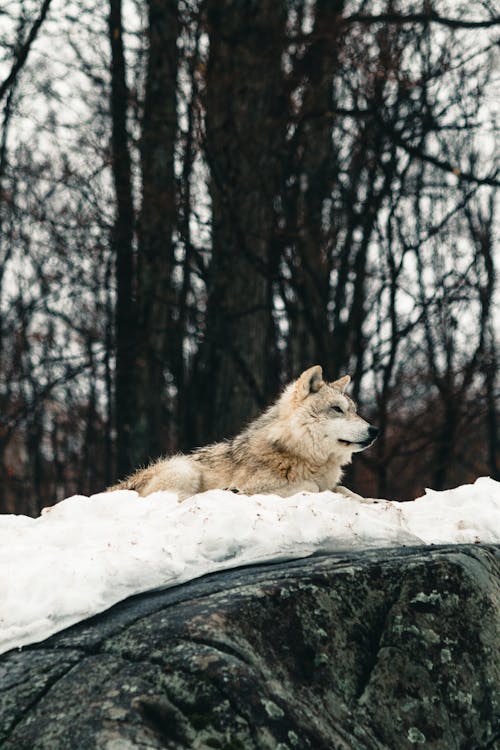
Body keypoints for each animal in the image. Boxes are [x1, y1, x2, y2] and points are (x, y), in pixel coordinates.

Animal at [107, 368, 376, 502]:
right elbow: (311, 486)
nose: (375, 430)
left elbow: (345, 490)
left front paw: (373, 502)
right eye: (337, 409)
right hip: (184, 469)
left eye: (354, 410)